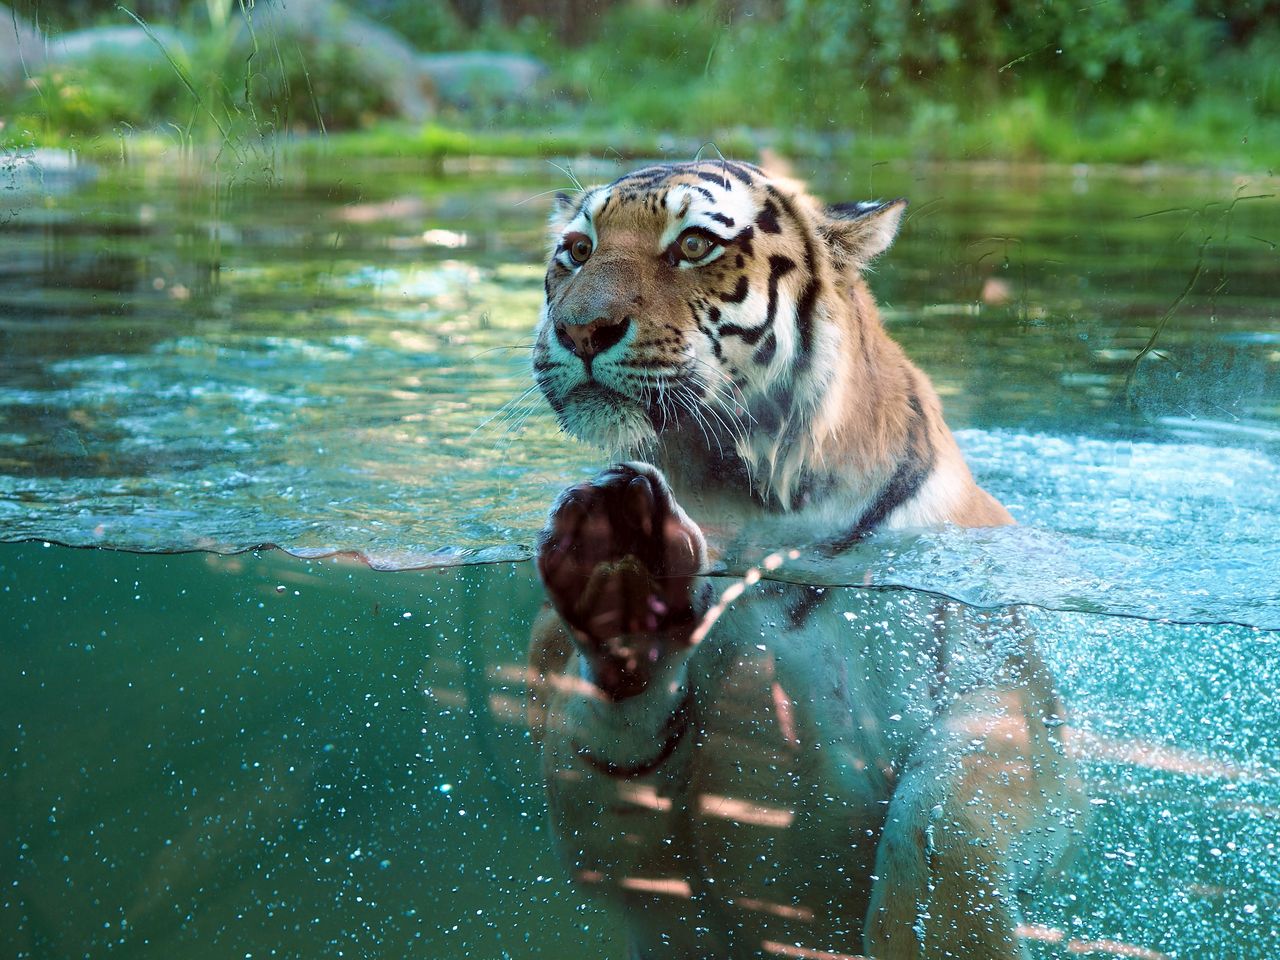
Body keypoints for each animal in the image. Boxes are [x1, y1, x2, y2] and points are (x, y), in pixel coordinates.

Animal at [524, 161, 1075, 957]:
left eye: (694, 245)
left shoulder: (1010, 680)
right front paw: (622, 576)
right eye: (576, 250)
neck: (755, 501)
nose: (578, 329)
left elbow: (949, 815)